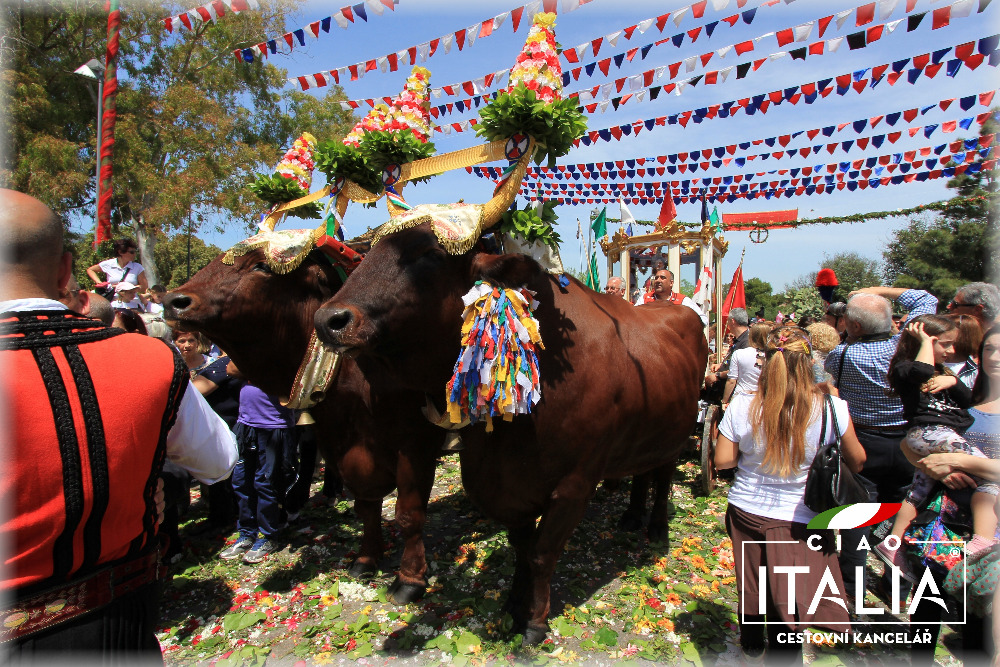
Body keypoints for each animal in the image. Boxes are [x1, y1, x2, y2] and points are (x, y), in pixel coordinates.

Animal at [162, 245, 444, 603]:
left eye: (262, 266)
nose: (174, 300)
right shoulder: (343, 445)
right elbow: (366, 506)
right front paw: (366, 559)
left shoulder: (416, 439)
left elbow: (408, 513)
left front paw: (409, 579)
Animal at [313, 220, 708, 644]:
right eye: (368, 251)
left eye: (431, 254)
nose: (328, 319)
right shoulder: (509, 485)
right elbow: (522, 548)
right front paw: (514, 604)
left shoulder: (574, 485)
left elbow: (542, 553)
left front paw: (535, 620)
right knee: (642, 473)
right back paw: (632, 516)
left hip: (676, 434)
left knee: (663, 478)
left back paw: (657, 529)